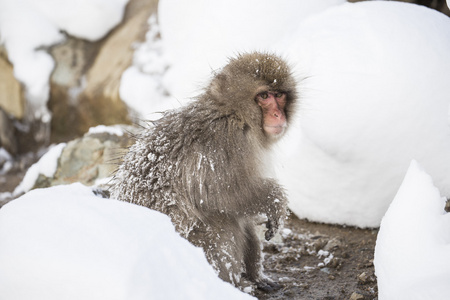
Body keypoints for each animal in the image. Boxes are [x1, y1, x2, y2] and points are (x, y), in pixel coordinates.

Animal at [111, 51, 298, 290]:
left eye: (280, 95)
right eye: (264, 95)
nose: (278, 114)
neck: (233, 114)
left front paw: (258, 273)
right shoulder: (225, 143)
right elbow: (227, 194)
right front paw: (276, 201)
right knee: (221, 223)